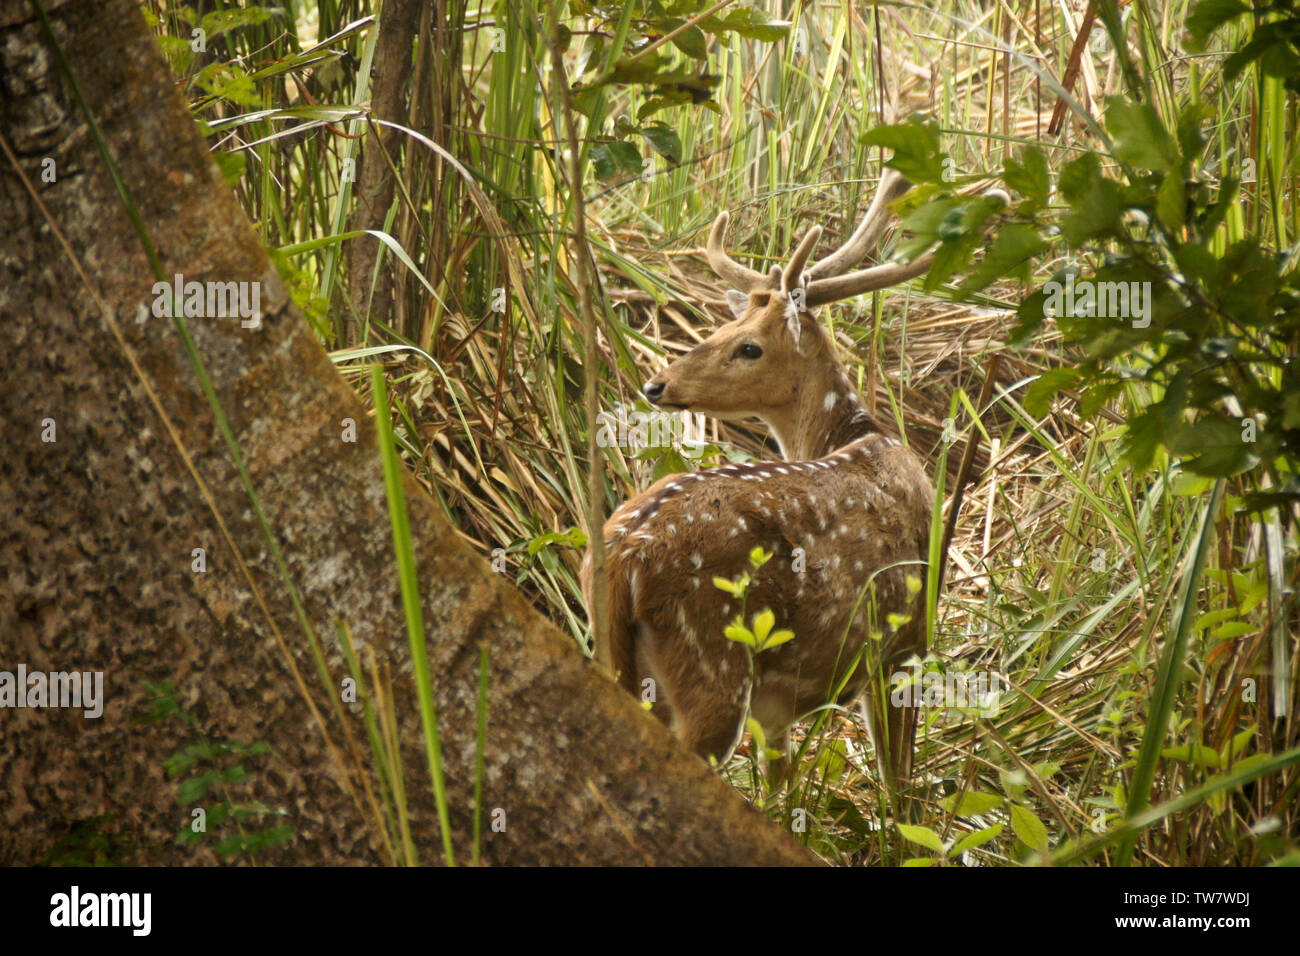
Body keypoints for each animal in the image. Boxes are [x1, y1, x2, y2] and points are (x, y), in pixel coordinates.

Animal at [587, 170, 935, 790]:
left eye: (748, 344)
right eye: (728, 326)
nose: (656, 384)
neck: (866, 437)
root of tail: (624, 559)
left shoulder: (777, 711)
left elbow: (779, 779)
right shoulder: (906, 639)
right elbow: (898, 786)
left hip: (612, 654)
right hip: (713, 662)